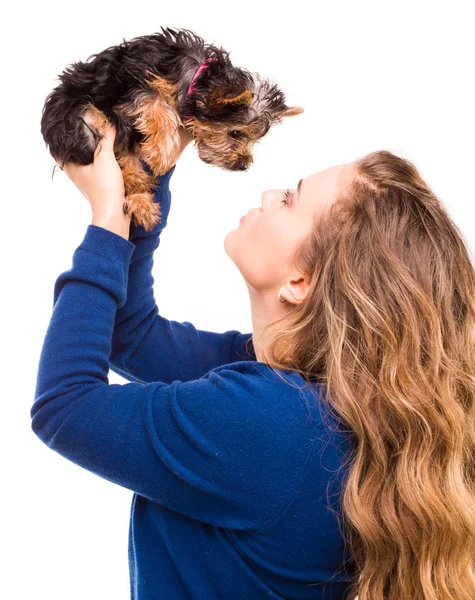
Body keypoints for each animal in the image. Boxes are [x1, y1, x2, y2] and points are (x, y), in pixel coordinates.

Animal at [41, 24, 304, 230]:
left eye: (255, 139)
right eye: (236, 132)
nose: (242, 165)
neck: (197, 78)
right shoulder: (138, 88)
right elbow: (158, 109)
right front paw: (160, 156)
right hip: (81, 120)